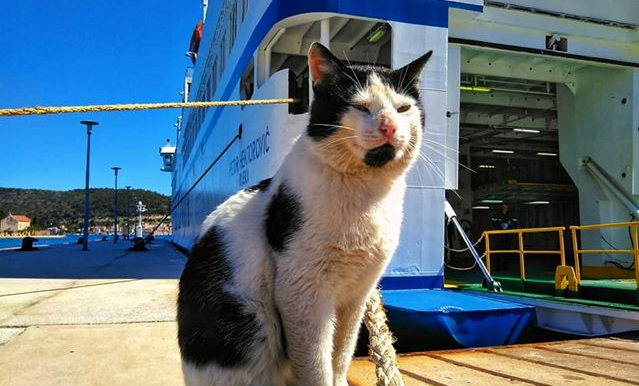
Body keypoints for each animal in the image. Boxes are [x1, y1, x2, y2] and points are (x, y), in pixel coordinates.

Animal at [178, 42, 432, 386]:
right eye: (361, 107)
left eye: (403, 108)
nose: (389, 126)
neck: (366, 192)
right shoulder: (302, 294)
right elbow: (316, 366)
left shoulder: (356, 295)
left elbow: (341, 355)